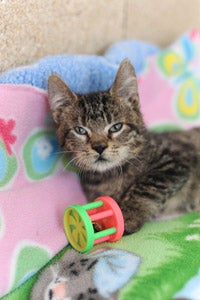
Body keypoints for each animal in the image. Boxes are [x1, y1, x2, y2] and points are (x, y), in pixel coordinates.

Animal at [47, 59, 200, 234]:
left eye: (116, 127)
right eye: (80, 130)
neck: (110, 176)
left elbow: (145, 185)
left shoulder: (175, 162)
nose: (99, 147)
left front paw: (127, 216)